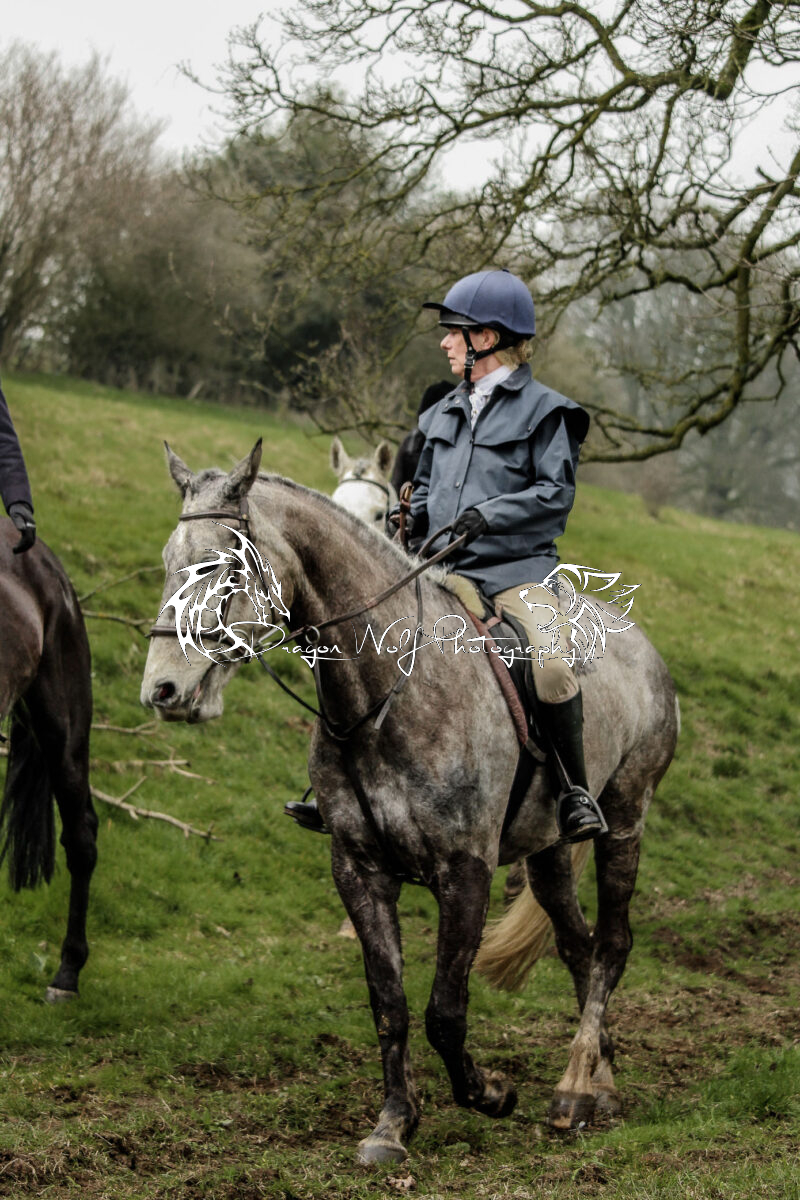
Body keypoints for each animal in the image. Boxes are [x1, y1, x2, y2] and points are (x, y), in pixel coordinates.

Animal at [141, 442, 679, 1164]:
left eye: (224, 566)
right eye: (169, 560)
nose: (162, 690)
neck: (389, 692)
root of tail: (638, 642)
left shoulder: (466, 872)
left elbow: (444, 1010)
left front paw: (490, 1093)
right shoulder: (359, 869)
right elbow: (389, 1003)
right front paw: (393, 1124)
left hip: (624, 820)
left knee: (613, 943)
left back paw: (574, 1089)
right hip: (549, 850)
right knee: (578, 945)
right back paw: (601, 1079)